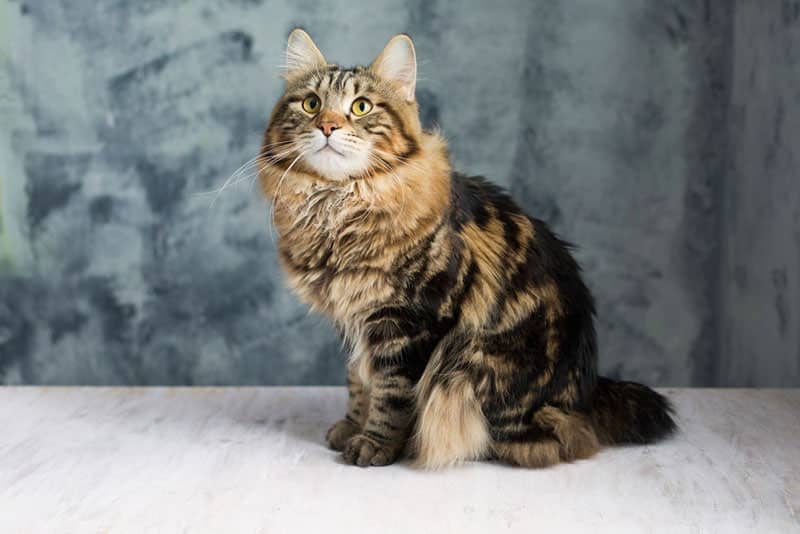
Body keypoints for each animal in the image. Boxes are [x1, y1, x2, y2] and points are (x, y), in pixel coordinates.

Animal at [258, 29, 676, 468]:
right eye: (311, 103)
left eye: (361, 106)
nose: (328, 125)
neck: (338, 206)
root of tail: (586, 395)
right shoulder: (354, 318)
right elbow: (359, 379)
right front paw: (351, 426)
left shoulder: (410, 322)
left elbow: (390, 395)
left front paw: (375, 445)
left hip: (471, 369)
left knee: (545, 439)